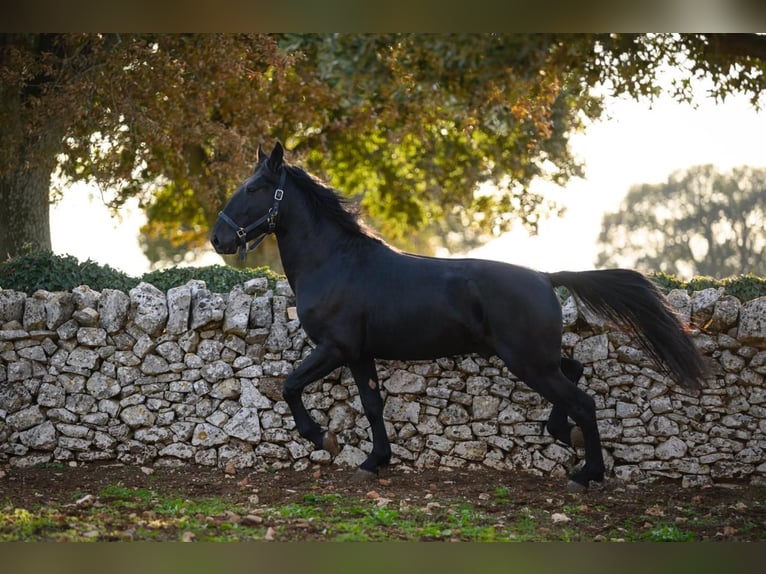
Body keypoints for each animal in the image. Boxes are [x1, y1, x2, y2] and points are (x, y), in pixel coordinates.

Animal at [210, 143, 708, 490]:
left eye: (254, 188)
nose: (218, 238)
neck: (336, 263)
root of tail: (545, 277)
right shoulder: (359, 354)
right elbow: (372, 405)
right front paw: (374, 461)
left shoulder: (335, 347)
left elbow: (291, 386)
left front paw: (323, 438)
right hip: (537, 359)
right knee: (575, 374)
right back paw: (566, 437)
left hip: (528, 362)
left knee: (583, 402)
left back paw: (586, 474)